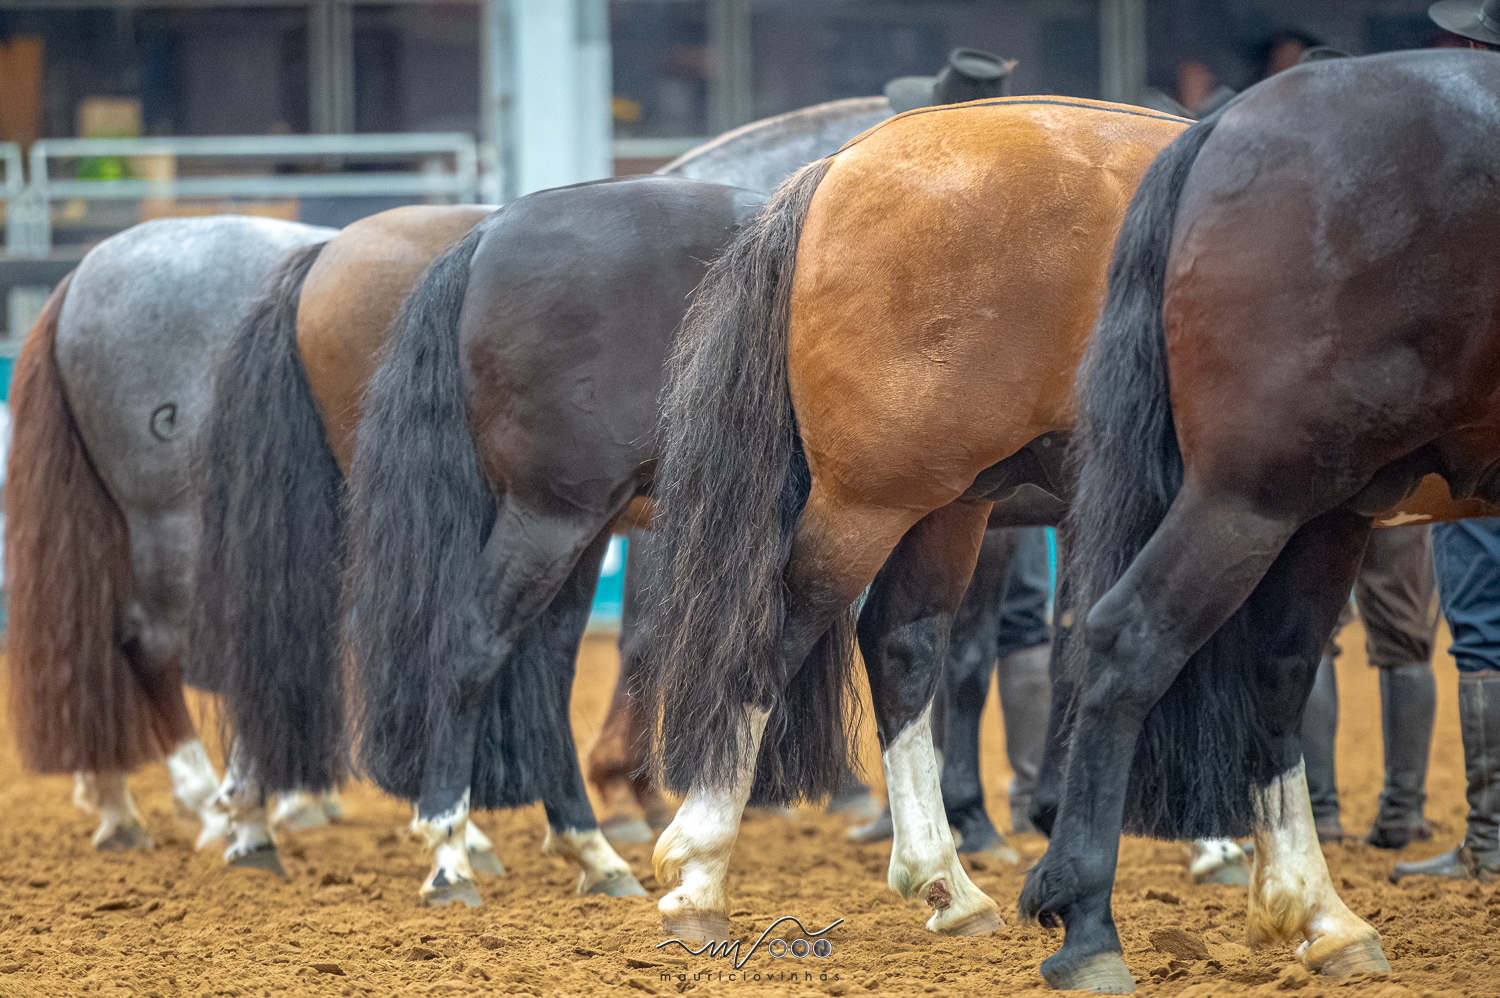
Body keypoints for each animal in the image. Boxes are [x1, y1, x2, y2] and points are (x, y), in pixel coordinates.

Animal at [1018, 49, 1500, 992]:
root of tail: (1221, 128)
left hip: (1329, 507)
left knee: (1278, 671)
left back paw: (1323, 917)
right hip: (1250, 498)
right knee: (1132, 639)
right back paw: (1088, 927)